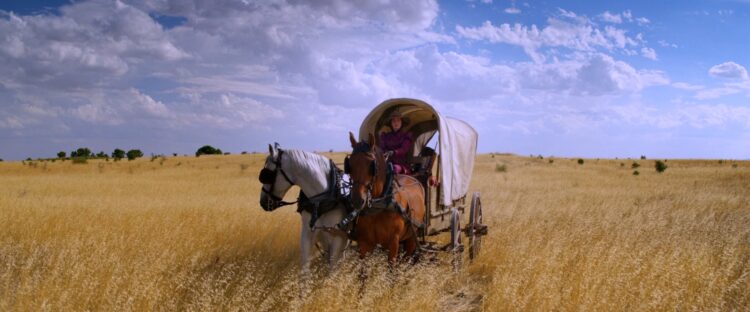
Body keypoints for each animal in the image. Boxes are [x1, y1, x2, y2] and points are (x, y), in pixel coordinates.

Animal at [260, 143, 352, 272]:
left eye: (267, 174)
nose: (263, 202)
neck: (320, 202)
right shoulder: (307, 236)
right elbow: (305, 270)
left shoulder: (337, 238)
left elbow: (332, 269)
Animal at [348, 132, 426, 266]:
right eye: (350, 164)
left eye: (371, 165)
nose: (358, 200)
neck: (379, 204)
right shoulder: (364, 243)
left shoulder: (394, 242)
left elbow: (391, 268)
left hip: (411, 237)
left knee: (406, 259)